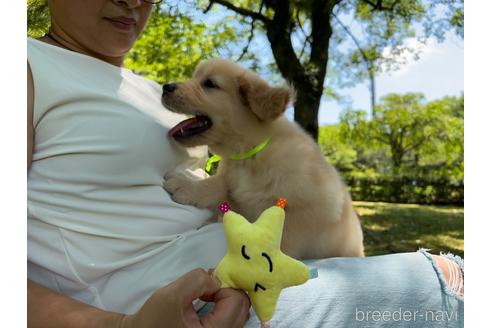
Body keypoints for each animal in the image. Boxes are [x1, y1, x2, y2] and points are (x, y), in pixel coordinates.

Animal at [161, 58, 362, 258]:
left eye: (210, 84)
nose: (165, 87)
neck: (249, 154)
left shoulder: (313, 207)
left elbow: (282, 236)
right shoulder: (235, 186)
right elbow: (221, 183)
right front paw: (190, 185)